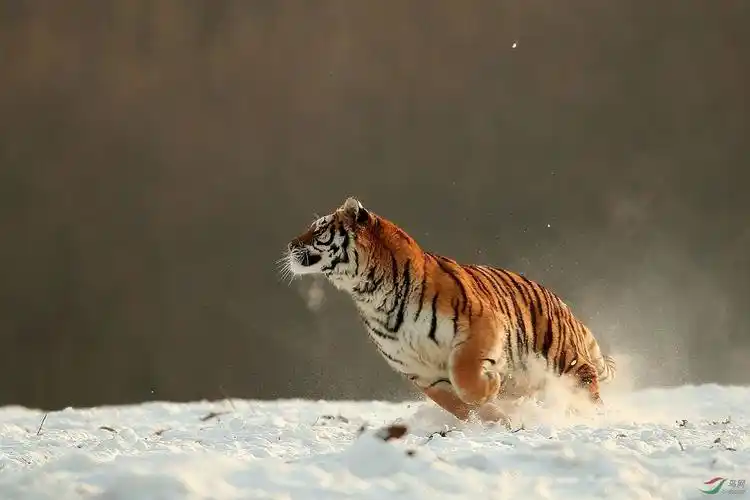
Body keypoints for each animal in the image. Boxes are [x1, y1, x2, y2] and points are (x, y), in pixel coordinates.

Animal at [284, 197, 616, 425]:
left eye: (319, 230)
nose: (289, 244)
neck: (370, 293)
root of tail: (561, 302)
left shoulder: (479, 329)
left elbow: (464, 378)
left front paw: (489, 388)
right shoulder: (421, 372)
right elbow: (454, 403)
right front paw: (492, 420)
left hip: (561, 357)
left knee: (587, 384)